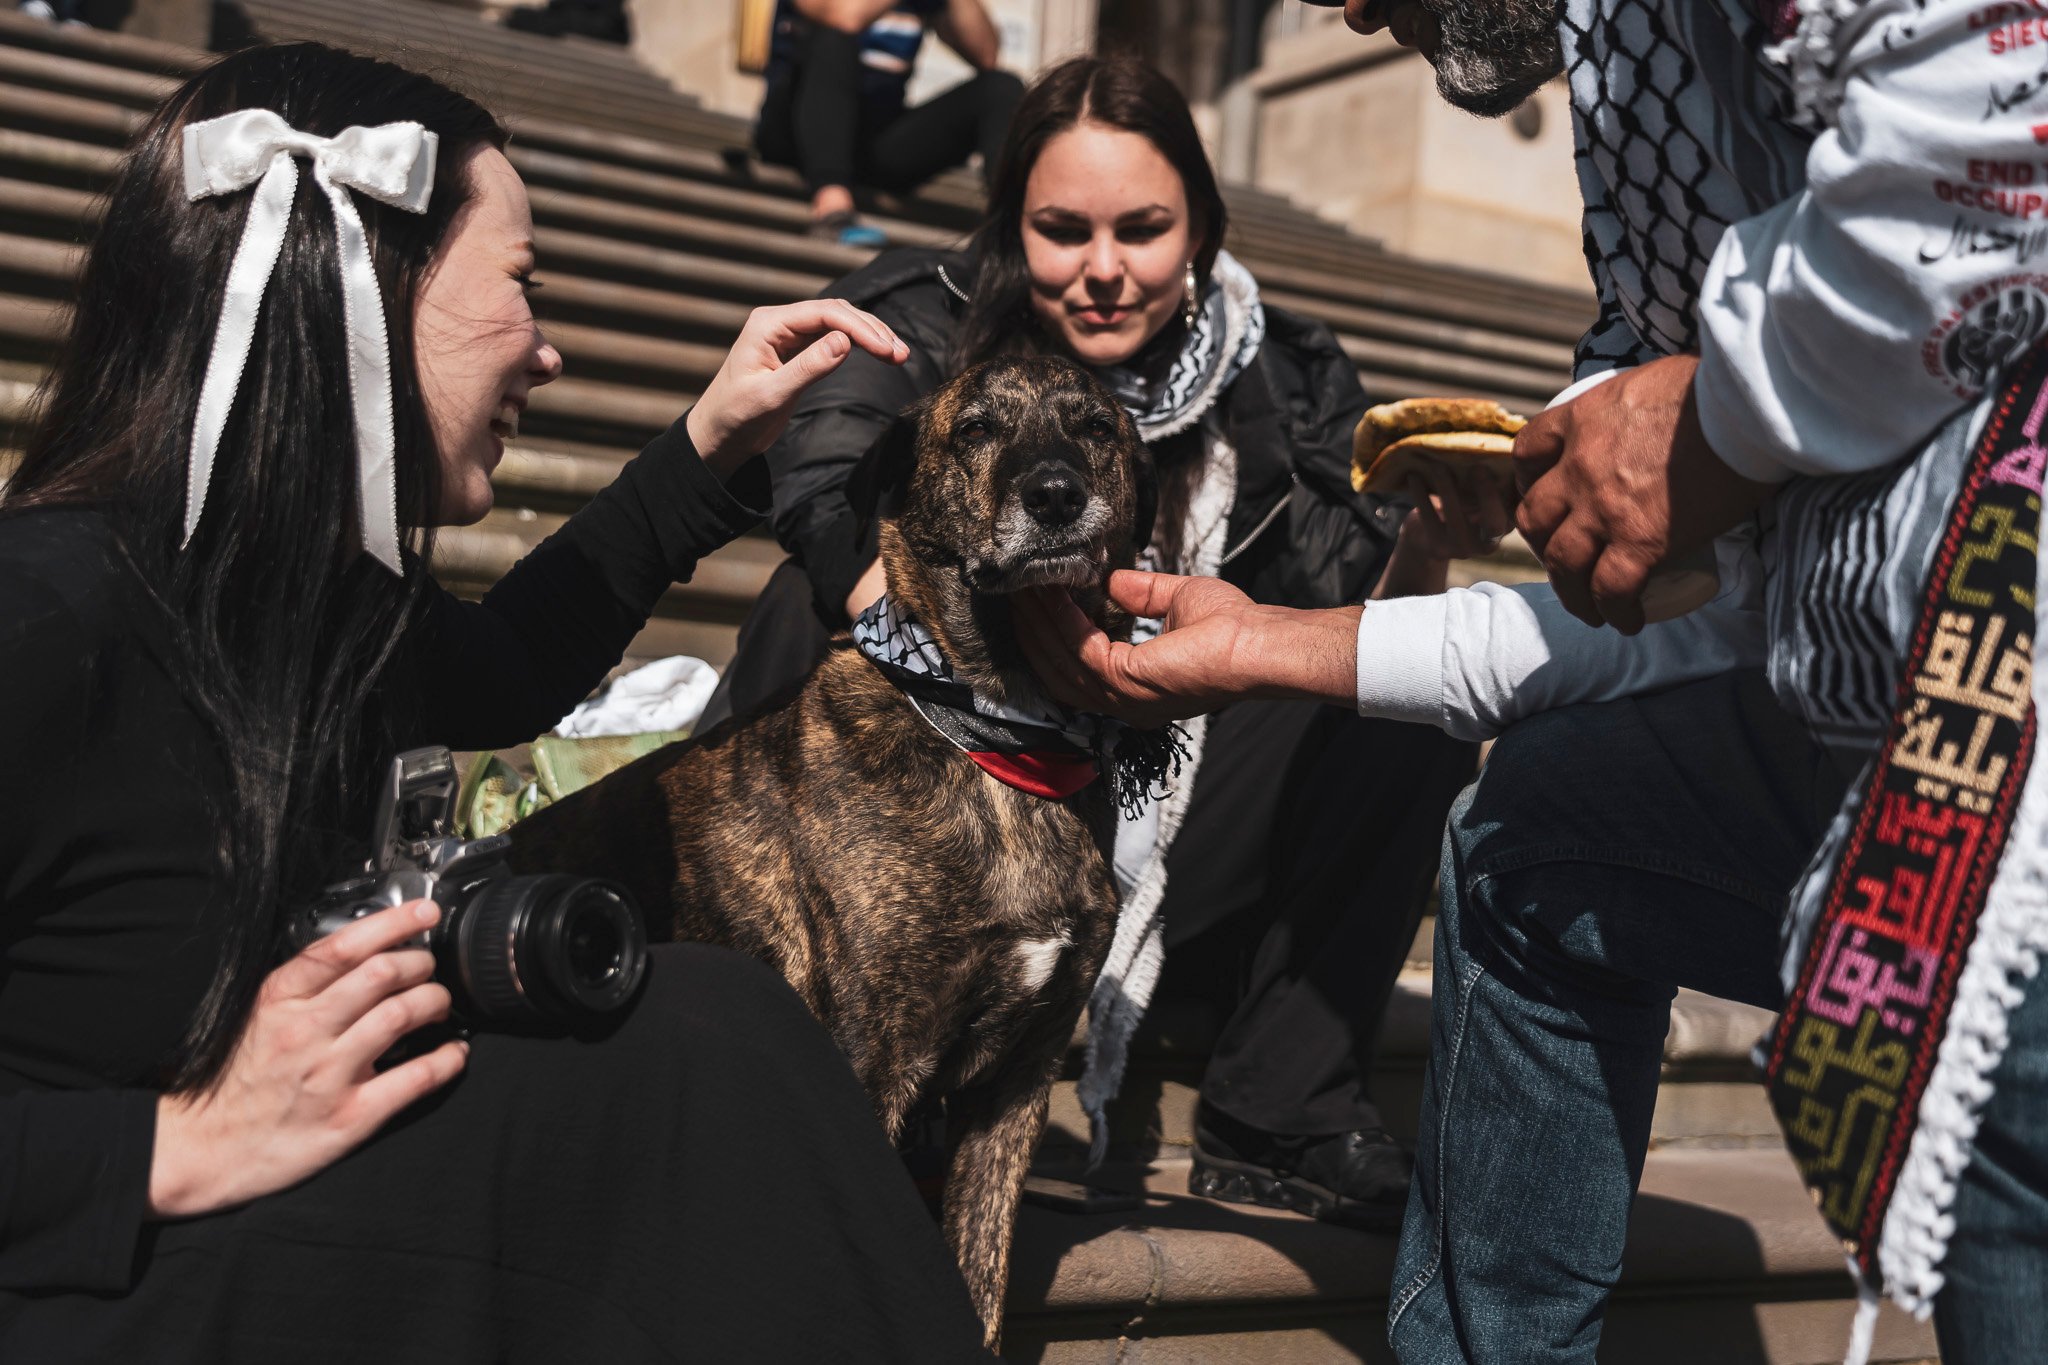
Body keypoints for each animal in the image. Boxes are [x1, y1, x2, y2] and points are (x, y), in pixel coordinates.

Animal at [507, 355, 1155, 1347]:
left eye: (1094, 428)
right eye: (975, 429)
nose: (1055, 495)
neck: (998, 734)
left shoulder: (1013, 1092)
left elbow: (977, 1285)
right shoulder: (870, 1067)